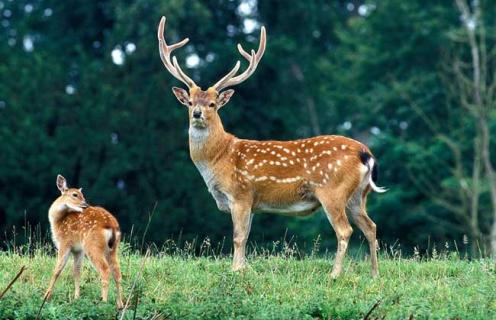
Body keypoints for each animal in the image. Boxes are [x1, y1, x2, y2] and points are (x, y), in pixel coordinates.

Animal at [44, 175, 123, 308]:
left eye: (82, 194)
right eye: (75, 194)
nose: (85, 204)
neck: (58, 220)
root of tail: (111, 226)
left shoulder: (65, 242)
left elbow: (57, 270)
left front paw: (46, 297)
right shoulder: (78, 250)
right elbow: (77, 271)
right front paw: (76, 297)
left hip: (92, 245)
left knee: (105, 269)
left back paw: (104, 302)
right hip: (113, 248)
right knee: (117, 271)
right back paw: (120, 304)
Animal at [157, 17, 386, 278]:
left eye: (213, 104)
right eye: (190, 102)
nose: (197, 114)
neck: (219, 158)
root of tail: (366, 154)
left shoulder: (241, 194)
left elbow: (238, 237)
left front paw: (235, 271)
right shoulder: (252, 203)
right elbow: (246, 236)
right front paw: (244, 269)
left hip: (332, 190)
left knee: (345, 230)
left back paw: (334, 274)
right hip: (358, 195)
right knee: (370, 226)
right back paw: (374, 274)